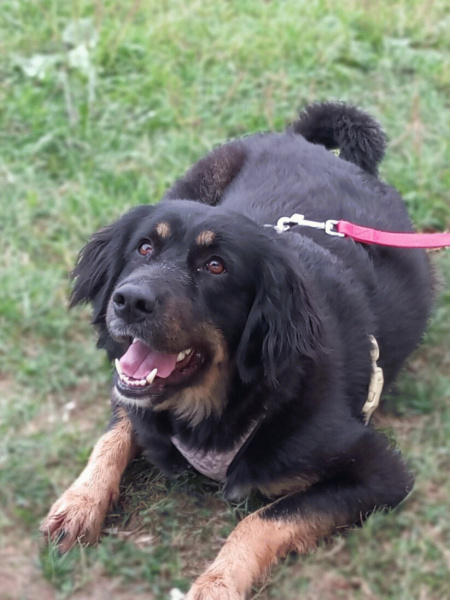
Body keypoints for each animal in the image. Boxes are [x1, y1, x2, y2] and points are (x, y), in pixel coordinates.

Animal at [40, 101, 434, 596]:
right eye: (144, 248)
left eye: (216, 266)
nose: (128, 301)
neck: (225, 403)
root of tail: (303, 140)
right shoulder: (135, 400)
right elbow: (115, 432)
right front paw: (79, 501)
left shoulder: (379, 470)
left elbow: (262, 519)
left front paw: (217, 583)